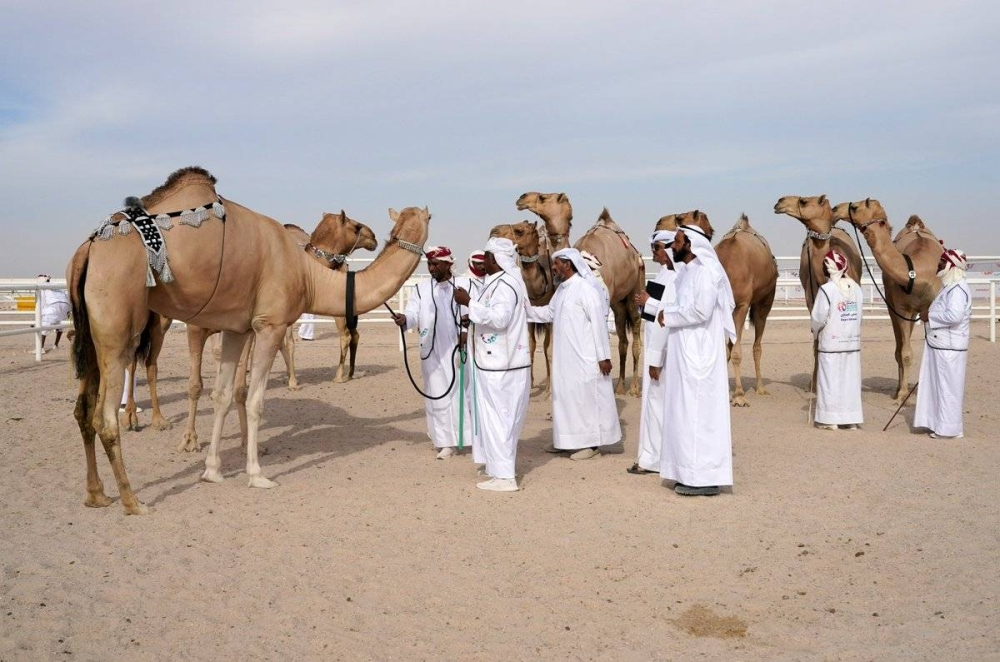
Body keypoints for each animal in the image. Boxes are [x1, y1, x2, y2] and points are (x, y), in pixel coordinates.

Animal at [68, 166, 428, 514]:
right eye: (354, 225)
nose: (373, 237)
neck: (308, 275)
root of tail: (87, 250)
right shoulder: (269, 324)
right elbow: (253, 400)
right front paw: (255, 474)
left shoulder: (237, 329)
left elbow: (225, 395)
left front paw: (213, 470)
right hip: (120, 323)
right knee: (107, 413)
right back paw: (132, 499)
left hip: (92, 333)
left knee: (84, 409)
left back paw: (97, 494)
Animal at [489, 220, 555, 392]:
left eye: (519, 231)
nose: (493, 231)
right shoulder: (529, 317)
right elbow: (530, 346)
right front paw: (529, 385)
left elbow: (550, 349)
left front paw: (550, 391)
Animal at [832, 199, 943, 401]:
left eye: (856, 207)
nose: (835, 209)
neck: (919, 271)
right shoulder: (901, 308)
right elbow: (905, 353)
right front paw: (902, 394)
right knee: (900, 348)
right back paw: (899, 388)